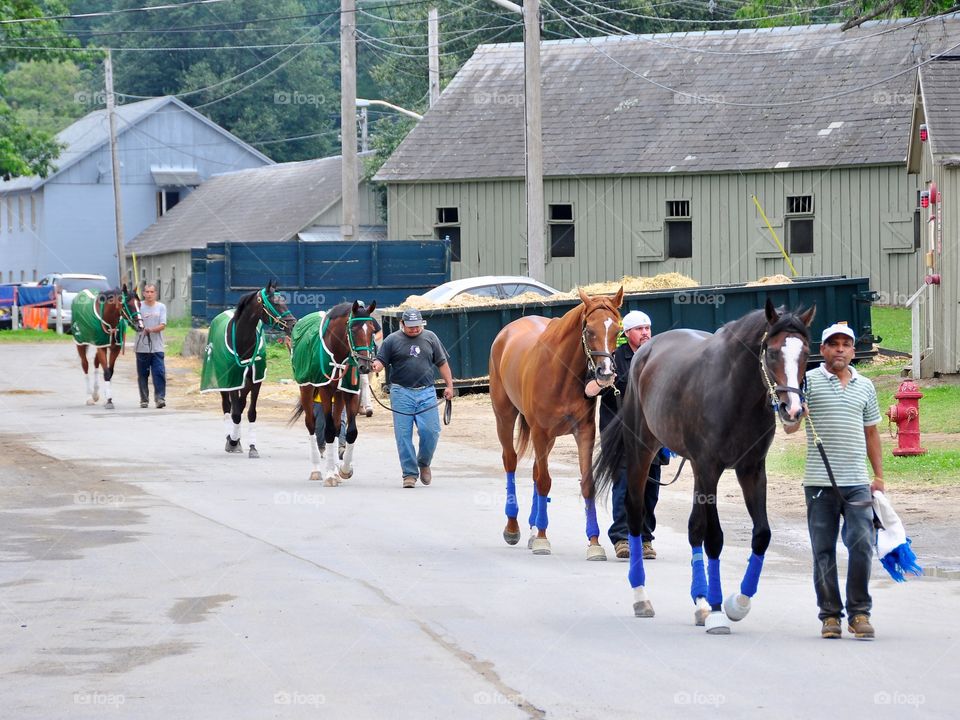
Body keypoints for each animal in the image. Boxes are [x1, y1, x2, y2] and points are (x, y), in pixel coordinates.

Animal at [200, 282, 296, 456]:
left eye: (284, 301)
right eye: (275, 303)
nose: (292, 324)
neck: (243, 340)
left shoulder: (255, 379)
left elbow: (251, 412)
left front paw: (252, 447)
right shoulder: (231, 380)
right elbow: (235, 413)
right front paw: (232, 442)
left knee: (241, 403)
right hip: (224, 381)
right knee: (227, 406)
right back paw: (230, 438)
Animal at [286, 298, 376, 484]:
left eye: (372, 330)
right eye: (353, 330)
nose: (365, 366)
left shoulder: (349, 392)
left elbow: (350, 432)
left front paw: (343, 470)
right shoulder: (326, 390)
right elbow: (327, 430)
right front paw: (329, 476)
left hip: (339, 394)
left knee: (336, 426)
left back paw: (334, 469)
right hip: (306, 387)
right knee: (311, 424)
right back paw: (316, 470)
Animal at [492, 286, 628, 556]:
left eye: (617, 330)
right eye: (589, 330)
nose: (606, 373)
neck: (561, 371)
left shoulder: (584, 431)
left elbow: (587, 483)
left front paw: (594, 543)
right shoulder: (540, 431)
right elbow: (544, 482)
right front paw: (543, 539)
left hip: (549, 437)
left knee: (535, 471)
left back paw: (533, 529)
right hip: (505, 417)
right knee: (510, 461)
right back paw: (513, 527)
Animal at [596, 300, 812, 632]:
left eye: (806, 352)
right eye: (773, 352)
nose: (793, 409)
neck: (734, 389)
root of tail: (645, 352)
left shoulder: (751, 469)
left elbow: (761, 534)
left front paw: (737, 603)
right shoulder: (709, 468)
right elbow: (714, 537)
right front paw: (718, 609)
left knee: (693, 527)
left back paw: (699, 602)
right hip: (643, 451)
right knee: (635, 515)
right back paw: (641, 596)